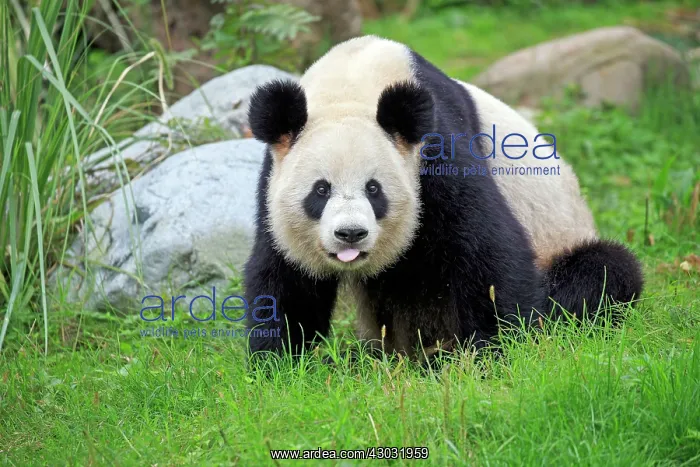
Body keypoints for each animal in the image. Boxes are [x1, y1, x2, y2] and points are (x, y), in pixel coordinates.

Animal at [243, 35, 644, 360]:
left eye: (374, 189)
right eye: (320, 190)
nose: (350, 234)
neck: (352, 82)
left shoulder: (437, 147)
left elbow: (486, 250)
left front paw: (498, 352)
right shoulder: (272, 177)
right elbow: (284, 274)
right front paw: (280, 365)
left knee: (602, 273)